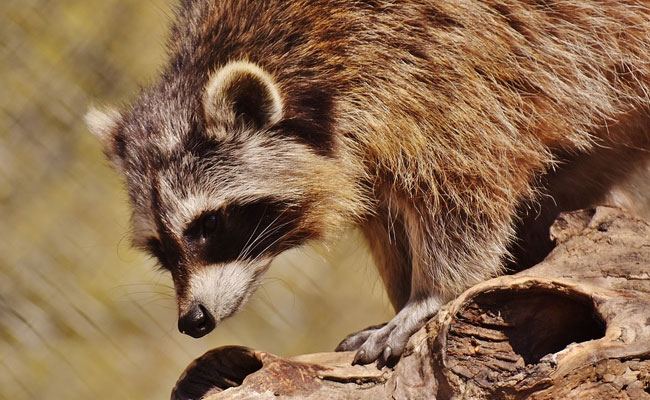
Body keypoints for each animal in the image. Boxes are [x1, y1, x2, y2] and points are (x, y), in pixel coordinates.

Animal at [86, 0, 648, 364]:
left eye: (210, 224)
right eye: (161, 249)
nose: (194, 321)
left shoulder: (437, 61)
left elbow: (466, 184)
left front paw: (431, 295)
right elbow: (385, 211)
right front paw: (406, 292)